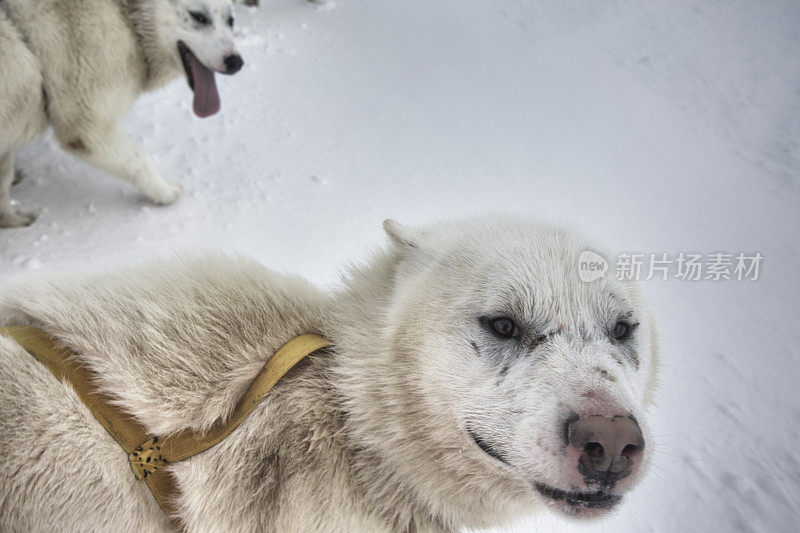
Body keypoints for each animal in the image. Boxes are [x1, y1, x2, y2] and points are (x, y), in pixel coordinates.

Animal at [0, 0, 244, 227]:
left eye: (231, 20)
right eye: (199, 17)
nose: (236, 62)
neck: (125, 16)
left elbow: (4, 178)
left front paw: (12, 220)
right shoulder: (88, 128)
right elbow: (139, 157)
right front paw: (165, 193)